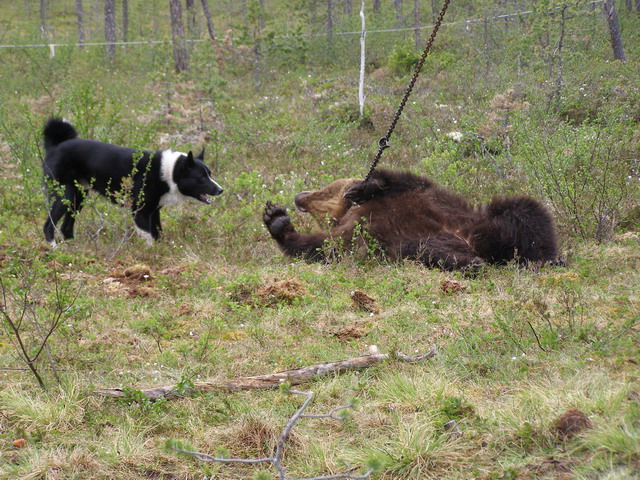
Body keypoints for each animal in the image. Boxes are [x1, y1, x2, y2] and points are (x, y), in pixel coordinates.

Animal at [42, 117, 223, 245]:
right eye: (201, 178)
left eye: (210, 174)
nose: (220, 190)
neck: (167, 172)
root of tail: (55, 147)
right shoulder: (140, 212)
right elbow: (148, 238)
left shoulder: (154, 211)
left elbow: (158, 234)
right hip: (63, 195)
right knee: (48, 226)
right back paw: (54, 249)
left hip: (78, 197)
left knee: (66, 227)